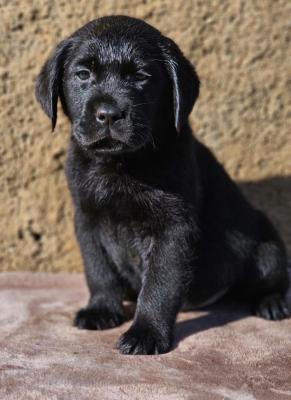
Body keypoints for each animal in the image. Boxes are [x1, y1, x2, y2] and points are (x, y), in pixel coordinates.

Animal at [35, 15, 290, 354]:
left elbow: (159, 284)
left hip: (266, 253)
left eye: (141, 76)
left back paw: (272, 302)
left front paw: (145, 332)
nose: (109, 114)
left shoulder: (173, 227)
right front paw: (101, 309)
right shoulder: (87, 219)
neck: (121, 164)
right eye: (83, 74)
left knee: (273, 276)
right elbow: (98, 269)